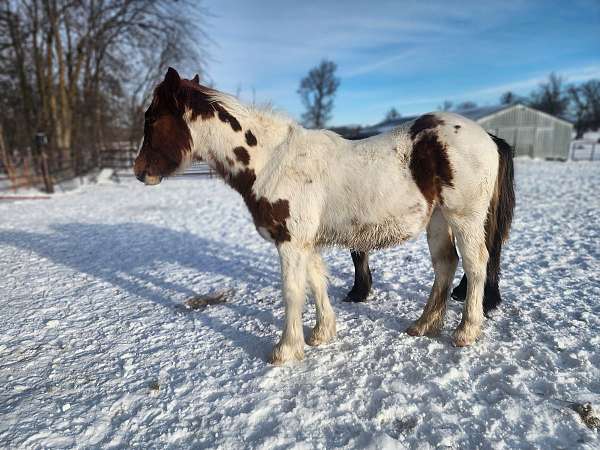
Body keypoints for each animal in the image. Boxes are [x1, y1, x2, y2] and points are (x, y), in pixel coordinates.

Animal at [135, 69, 516, 366]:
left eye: (151, 118)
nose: (140, 172)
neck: (271, 161)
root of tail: (488, 137)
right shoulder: (306, 242)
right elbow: (317, 282)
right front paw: (321, 334)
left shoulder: (290, 242)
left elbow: (292, 291)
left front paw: (286, 350)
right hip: (438, 221)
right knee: (445, 265)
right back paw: (423, 326)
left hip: (464, 218)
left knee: (476, 265)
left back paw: (466, 331)